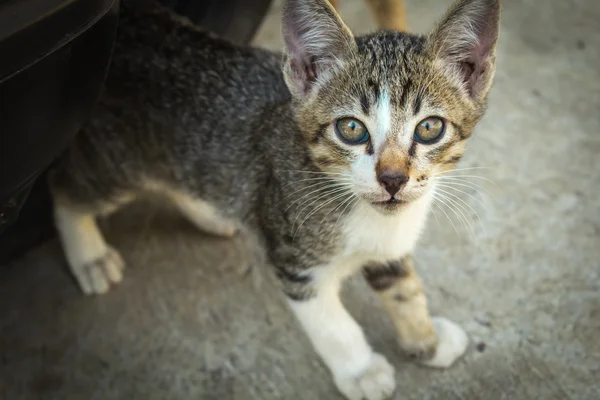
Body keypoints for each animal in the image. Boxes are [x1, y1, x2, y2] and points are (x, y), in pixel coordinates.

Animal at [47, 1, 500, 398]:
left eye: (429, 128)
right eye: (351, 128)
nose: (392, 178)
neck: (361, 211)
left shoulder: (388, 246)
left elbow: (405, 290)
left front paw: (426, 340)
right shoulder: (295, 261)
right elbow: (332, 324)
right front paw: (361, 371)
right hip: (117, 161)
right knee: (64, 185)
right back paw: (89, 255)